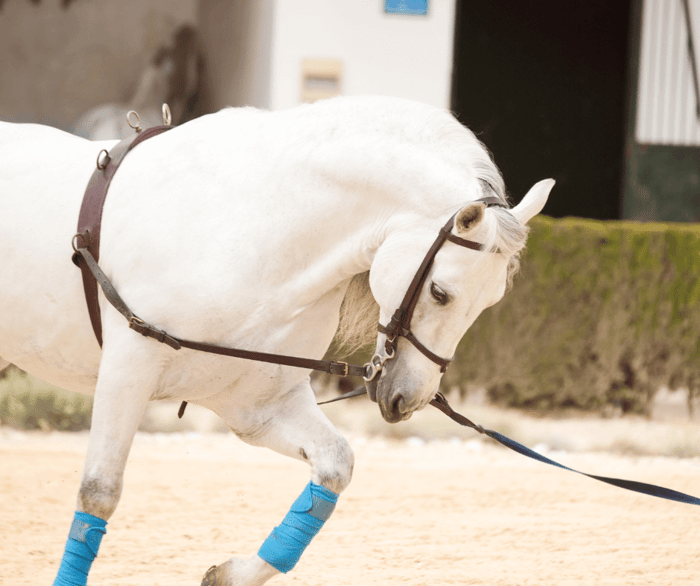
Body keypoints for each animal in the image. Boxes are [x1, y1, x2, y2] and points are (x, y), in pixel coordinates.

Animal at [0, 95, 553, 585]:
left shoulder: (257, 405)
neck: (254, 229)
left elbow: (335, 467)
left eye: (491, 302)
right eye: (440, 292)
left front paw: (228, 574)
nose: (409, 399)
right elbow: (99, 492)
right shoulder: (126, 374)